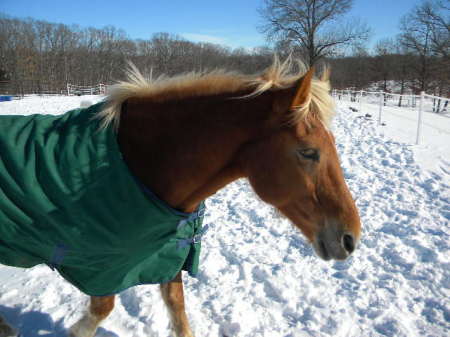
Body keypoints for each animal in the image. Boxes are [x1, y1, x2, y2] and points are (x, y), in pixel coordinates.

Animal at [0, 58, 360, 336]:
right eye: (308, 152)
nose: (350, 238)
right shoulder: (99, 265)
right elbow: (101, 311)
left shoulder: (165, 255)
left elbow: (178, 309)